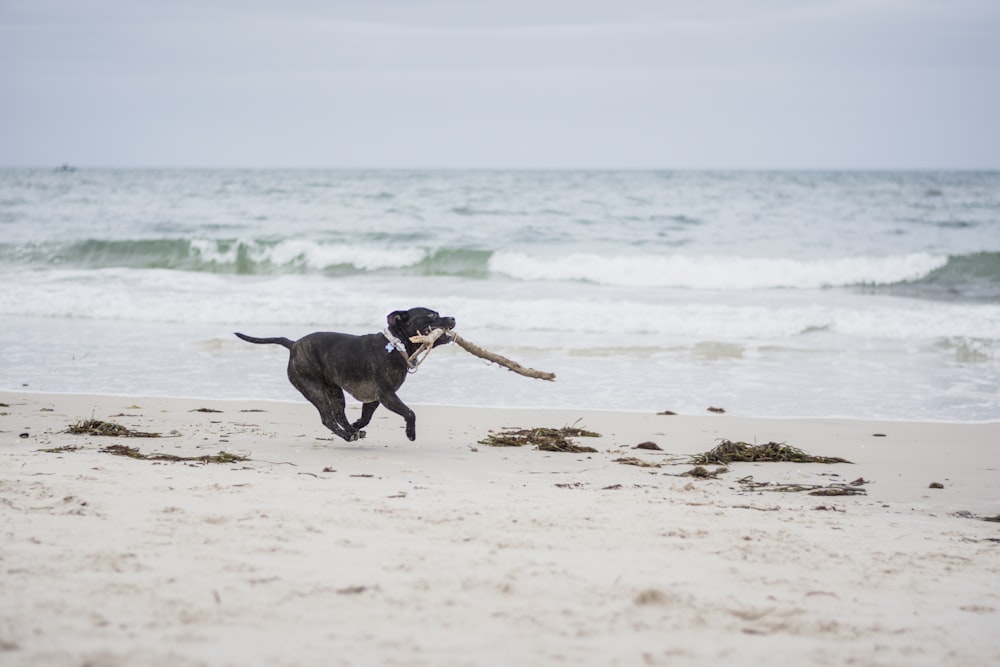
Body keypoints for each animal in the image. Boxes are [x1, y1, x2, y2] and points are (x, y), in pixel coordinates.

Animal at [236, 308, 456, 444]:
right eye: (432, 315)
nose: (453, 318)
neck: (396, 344)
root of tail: (293, 345)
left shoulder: (375, 398)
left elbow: (366, 417)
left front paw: (357, 424)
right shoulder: (387, 395)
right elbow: (410, 412)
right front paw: (410, 433)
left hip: (334, 391)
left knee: (339, 414)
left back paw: (351, 430)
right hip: (314, 390)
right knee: (328, 418)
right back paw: (347, 435)